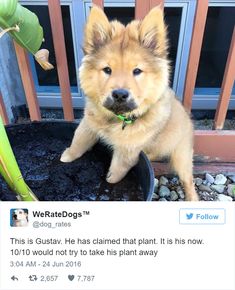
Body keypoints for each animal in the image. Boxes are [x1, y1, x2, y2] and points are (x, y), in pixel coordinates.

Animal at [61, 5, 198, 201]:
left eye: (137, 71)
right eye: (107, 70)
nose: (119, 94)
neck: (117, 119)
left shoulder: (127, 150)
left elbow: (116, 171)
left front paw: (109, 182)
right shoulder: (88, 124)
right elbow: (79, 140)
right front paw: (67, 156)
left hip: (181, 155)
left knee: (188, 180)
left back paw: (192, 197)